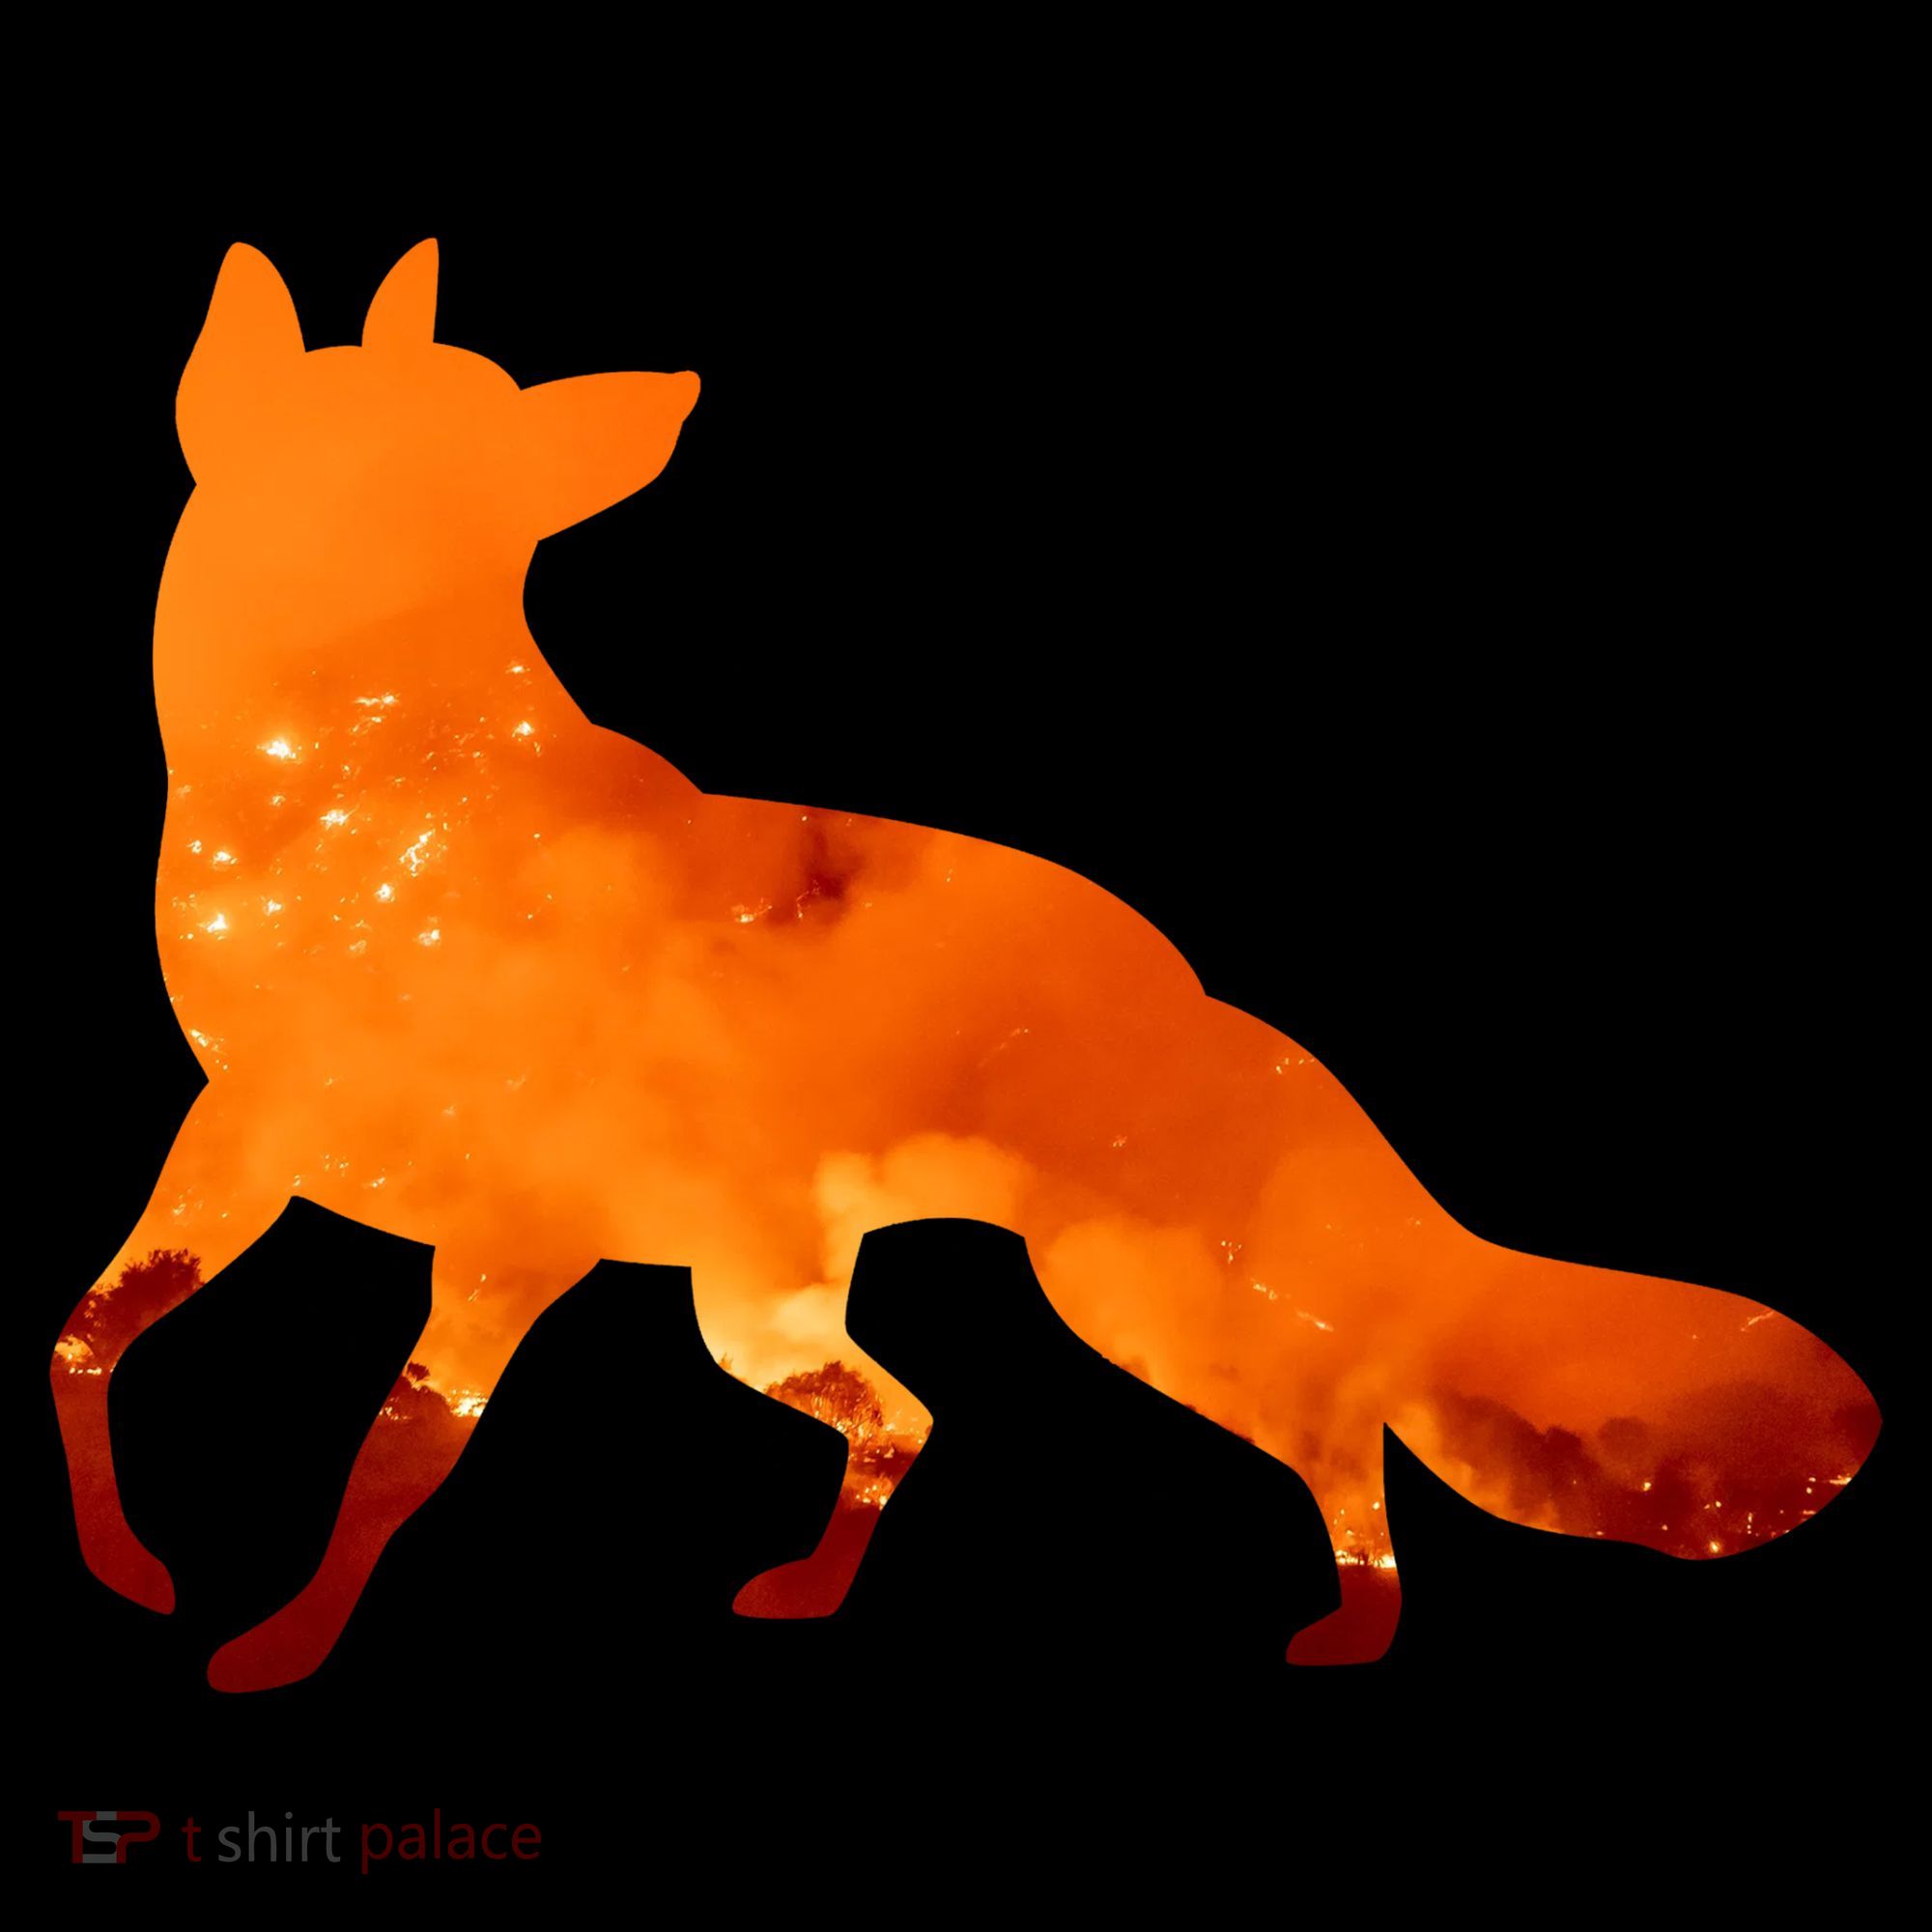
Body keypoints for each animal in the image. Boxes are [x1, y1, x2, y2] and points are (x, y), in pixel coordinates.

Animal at [50, 239, 1880, 1692]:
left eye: (452, 438)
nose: (263, 449)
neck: (375, 790)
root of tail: (1216, 1009)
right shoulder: (237, 1154)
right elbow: (82, 1344)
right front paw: (124, 1572)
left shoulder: (512, 1243)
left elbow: (390, 1459)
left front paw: (283, 1646)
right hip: (752, 1313)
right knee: (915, 1418)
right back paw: (812, 1595)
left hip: (1140, 1317)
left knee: (1337, 1432)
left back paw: (1358, 1627)